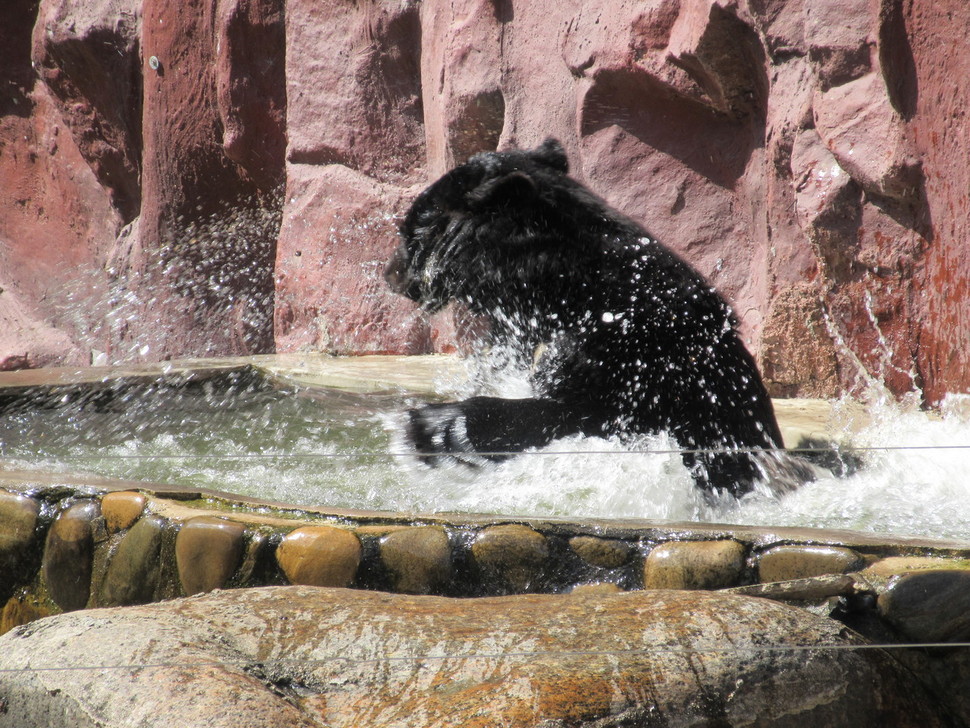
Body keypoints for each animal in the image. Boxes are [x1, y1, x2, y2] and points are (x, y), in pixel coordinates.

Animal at [382, 139, 784, 498]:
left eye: (411, 230)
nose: (389, 273)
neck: (568, 292)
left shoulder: (633, 353)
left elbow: (583, 412)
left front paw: (433, 428)